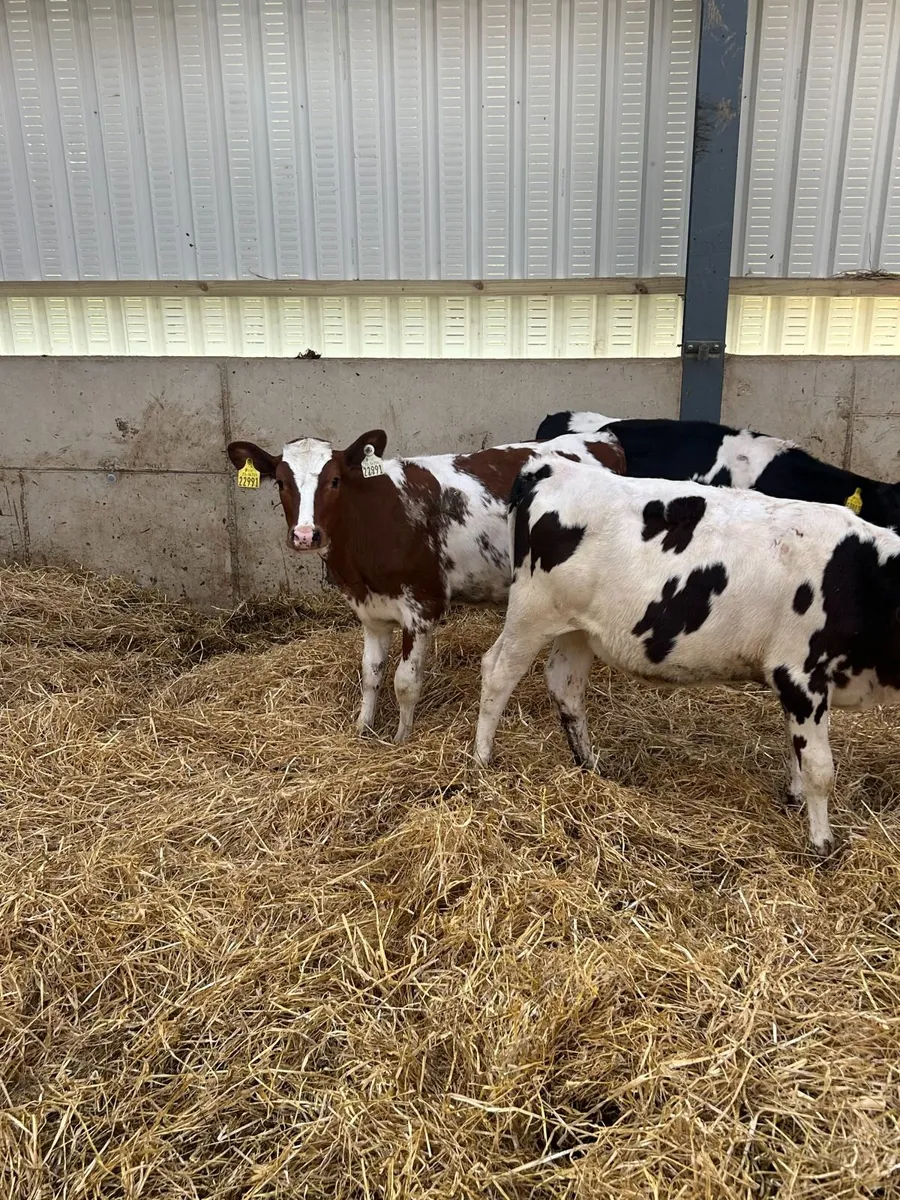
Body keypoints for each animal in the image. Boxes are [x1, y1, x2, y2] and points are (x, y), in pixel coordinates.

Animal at [227, 429, 625, 744]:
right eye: (281, 483)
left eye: (334, 481)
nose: (306, 535)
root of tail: (601, 438)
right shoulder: (370, 612)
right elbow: (371, 675)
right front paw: (362, 728)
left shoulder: (422, 607)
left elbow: (405, 682)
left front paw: (401, 739)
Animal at [474, 453, 900, 855]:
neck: (862, 577)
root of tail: (550, 467)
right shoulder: (800, 675)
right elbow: (818, 767)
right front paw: (822, 842)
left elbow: (797, 749)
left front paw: (794, 800)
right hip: (532, 613)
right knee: (497, 672)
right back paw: (482, 758)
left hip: (576, 628)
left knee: (566, 685)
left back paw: (589, 764)